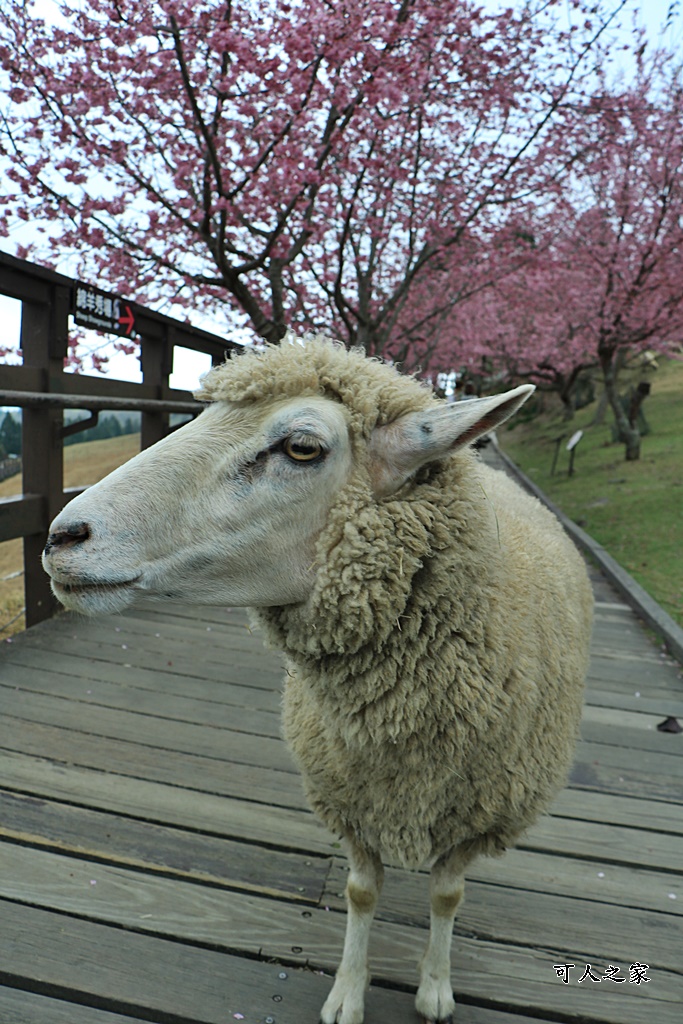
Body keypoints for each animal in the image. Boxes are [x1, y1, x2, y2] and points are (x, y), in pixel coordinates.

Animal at [45, 339, 593, 1024]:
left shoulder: (479, 816)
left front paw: (435, 987)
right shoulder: (351, 798)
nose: (62, 537)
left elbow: (446, 898)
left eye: (302, 447)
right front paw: (347, 993)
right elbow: (361, 893)